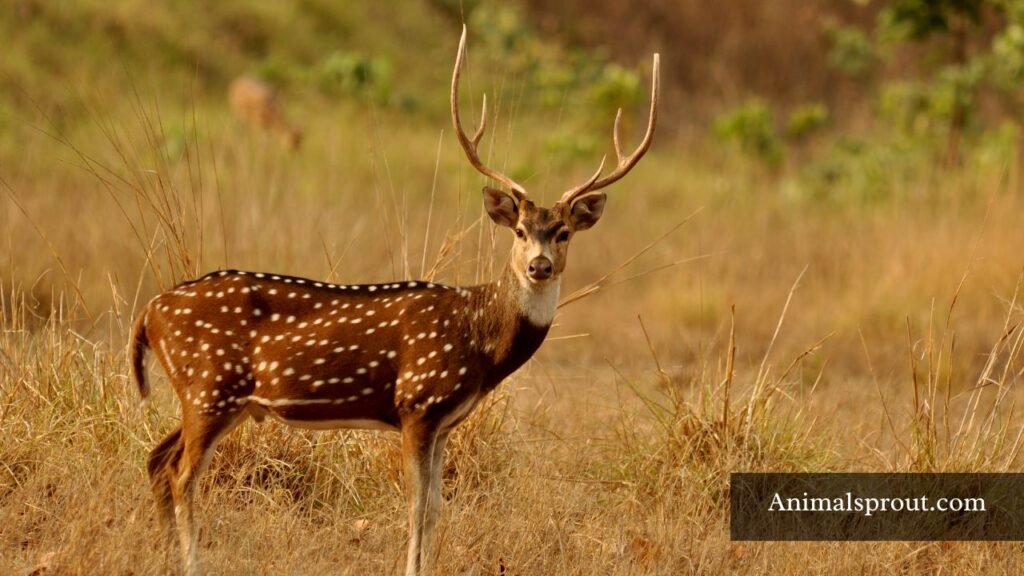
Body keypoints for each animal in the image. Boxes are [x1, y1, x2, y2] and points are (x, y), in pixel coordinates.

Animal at [130, 27, 658, 576]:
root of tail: (149, 313)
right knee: (182, 474)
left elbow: (437, 507)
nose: (539, 266)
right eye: (518, 230)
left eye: (564, 233)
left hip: (212, 397)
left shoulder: (446, 421)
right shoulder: (417, 401)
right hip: (210, 387)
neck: (479, 339)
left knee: (157, 458)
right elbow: (416, 505)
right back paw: (192, 562)